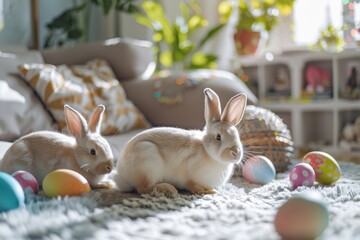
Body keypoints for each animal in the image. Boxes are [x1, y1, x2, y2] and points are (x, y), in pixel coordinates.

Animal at [113, 87, 248, 195]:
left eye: (237, 136)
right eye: (218, 137)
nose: (236, 153)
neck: (207, 151)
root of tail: (121, 175)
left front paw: (210, 189)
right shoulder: (189, 175)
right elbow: (191, 185)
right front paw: (207, 191)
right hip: (147, 161)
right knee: (142, 189)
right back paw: (167, 189)